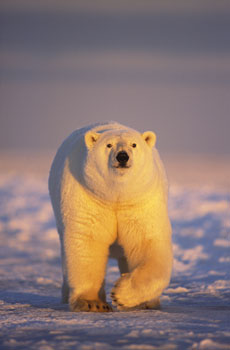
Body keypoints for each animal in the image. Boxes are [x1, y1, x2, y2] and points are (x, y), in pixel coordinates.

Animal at [48, 121, 172, 312]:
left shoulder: (140, 201)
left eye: (133, 145)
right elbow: (88, 241)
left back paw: (150, 302)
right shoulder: (89, 195)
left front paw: (122, 294)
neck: (115, 196)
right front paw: (92, 303)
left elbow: (147, 243)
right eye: (108, 145)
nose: (122, 156)